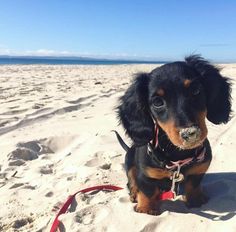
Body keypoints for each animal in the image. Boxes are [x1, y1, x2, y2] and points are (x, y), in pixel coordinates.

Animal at [117, 55, 231, 215]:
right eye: (158, 102)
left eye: (196, 90)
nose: (190, 133)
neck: (178, 157)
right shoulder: (145, 174)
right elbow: (146, 191)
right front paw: (146, 208)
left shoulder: (199, 169)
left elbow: (193, 185)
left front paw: (195, 200)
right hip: (129, 162)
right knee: (131, 180)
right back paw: (134, 192)